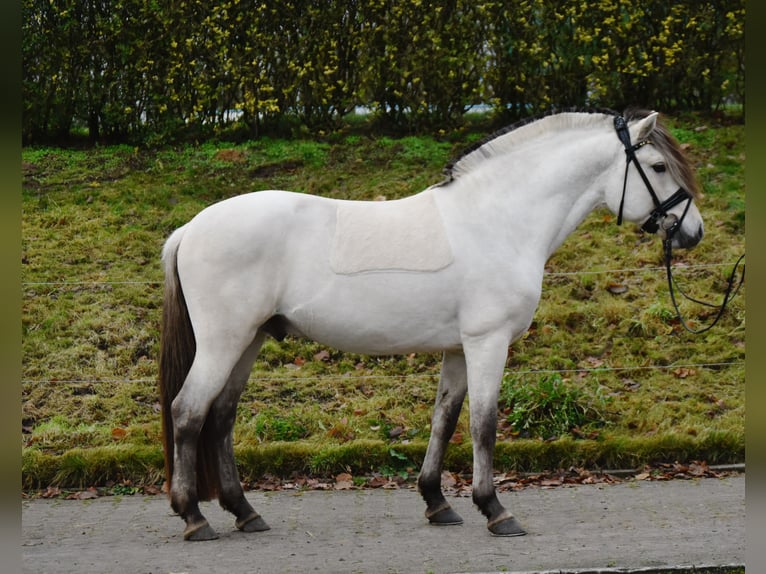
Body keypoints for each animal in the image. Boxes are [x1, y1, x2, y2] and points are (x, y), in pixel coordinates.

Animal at [159, 108, 704, 541]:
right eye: (658, 166)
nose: (693, 232)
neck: (498, 220)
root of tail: (190, 228)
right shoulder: (488, 343)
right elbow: (484, 424)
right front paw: (495, 510)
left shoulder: (459, 348)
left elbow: (445, 418)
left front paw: (437, 503)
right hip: (224, 342)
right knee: (188, 412)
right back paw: (194, 518)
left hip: (248, 341)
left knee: (221, 417)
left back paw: (245, 513)